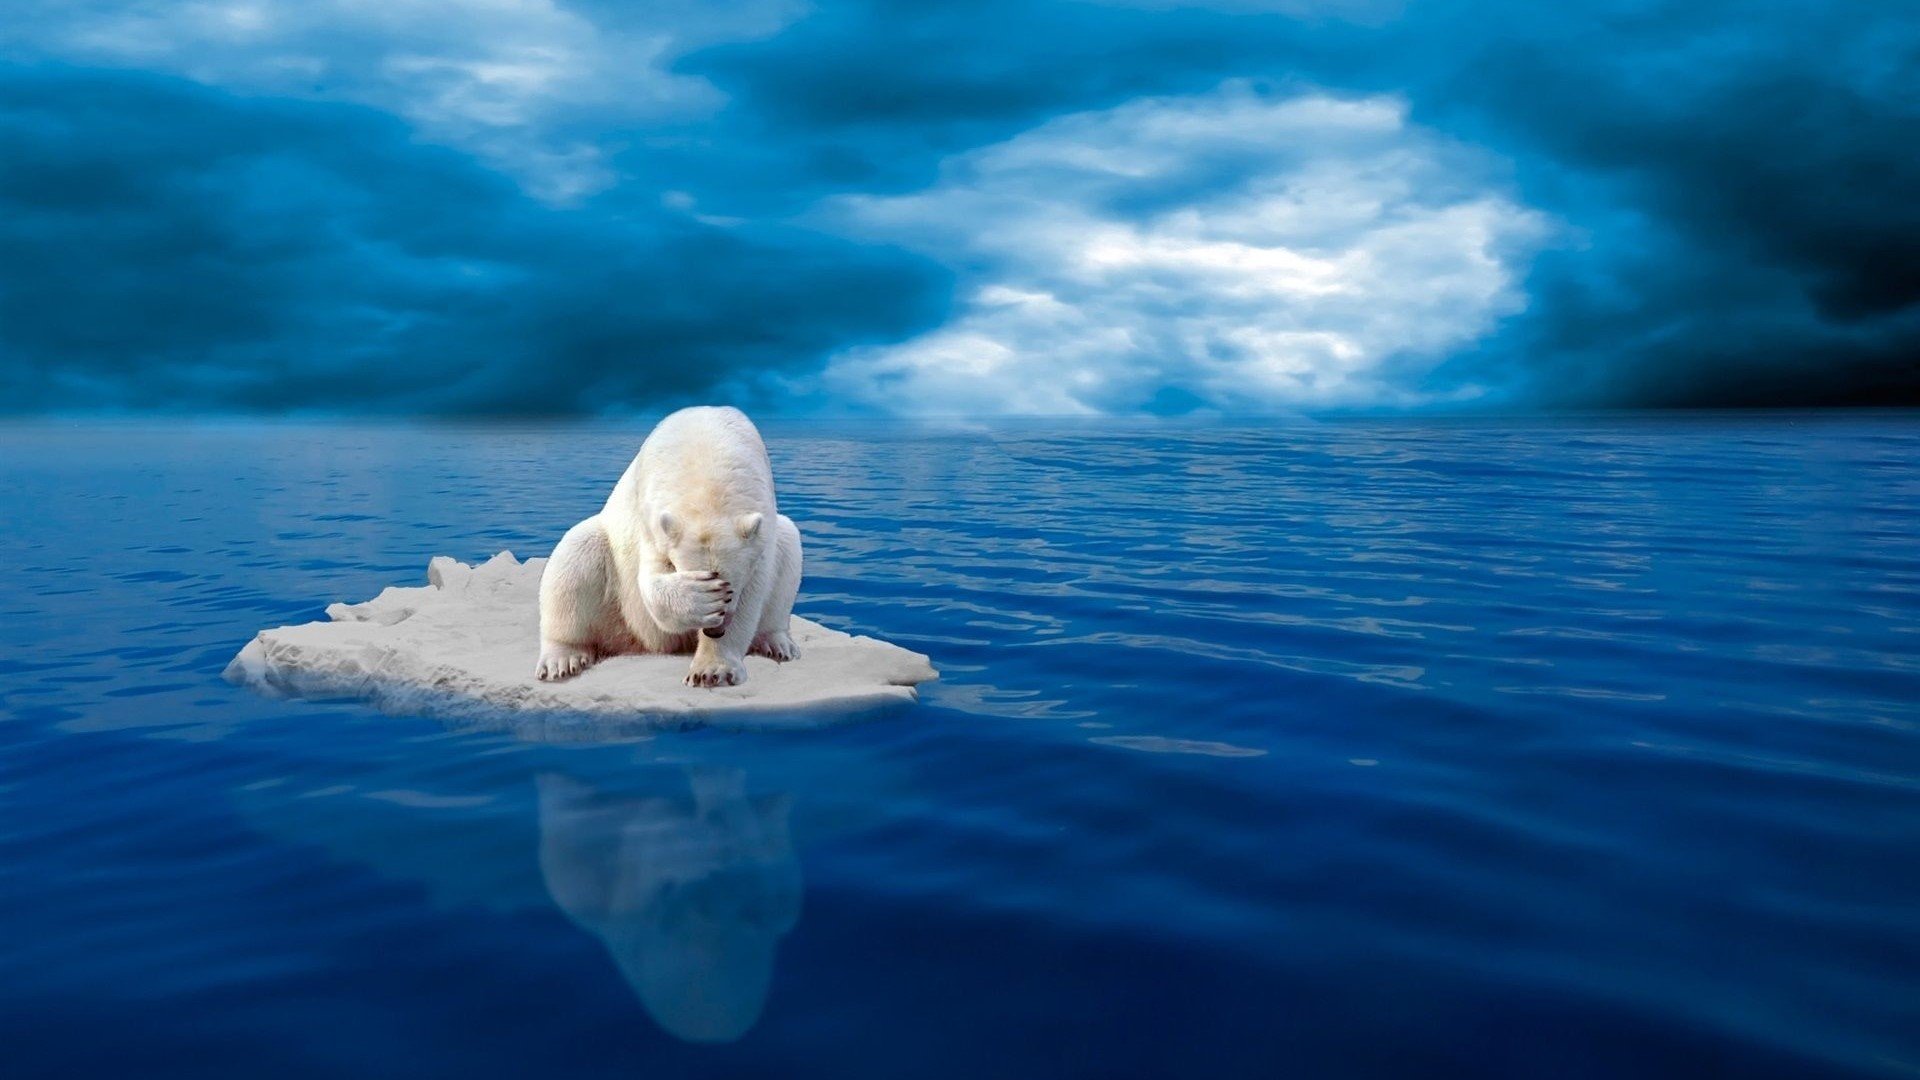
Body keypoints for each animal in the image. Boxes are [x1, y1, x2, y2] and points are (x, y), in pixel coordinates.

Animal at [534, 405, 802, 687]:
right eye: (712, 582)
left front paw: (712, 671)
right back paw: (562, 659)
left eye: (730, 589)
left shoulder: (761, 531)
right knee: (574, 557)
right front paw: (699, 598)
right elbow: (651, 580)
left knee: (789, 546)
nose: (714, 630)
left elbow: (752, 594)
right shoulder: (651, 518)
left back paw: (777, 643)